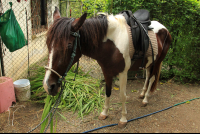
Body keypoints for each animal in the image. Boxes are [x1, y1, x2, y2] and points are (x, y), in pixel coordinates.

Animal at [43, 6, 172, 128]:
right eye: (47, 43)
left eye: (69, 45)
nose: (48, 86)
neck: (112, 44)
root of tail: (165, 29)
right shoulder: (106, 71)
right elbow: (108, 92)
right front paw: (104, 113)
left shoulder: (123, 73)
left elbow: (122, 96)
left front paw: (123, 119)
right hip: (149, 63)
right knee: (147, 77)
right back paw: (142, 94)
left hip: (158, 62)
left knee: (152, 78)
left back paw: (145, 99)